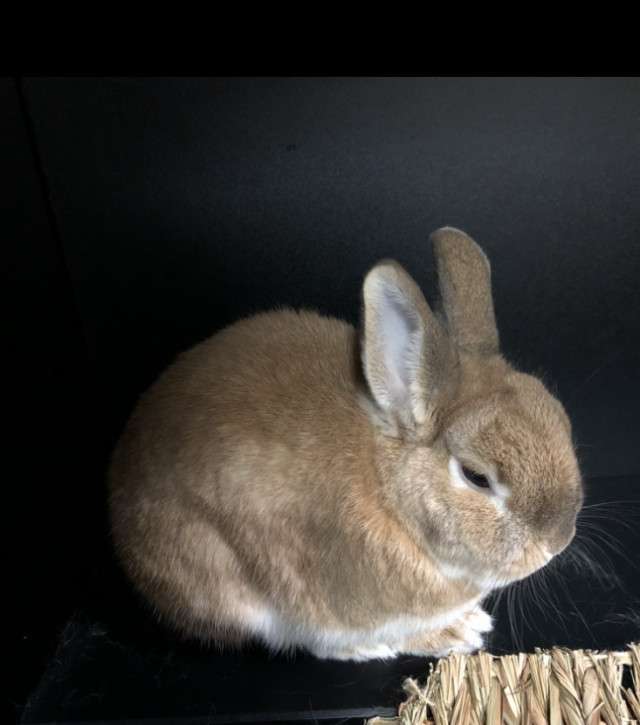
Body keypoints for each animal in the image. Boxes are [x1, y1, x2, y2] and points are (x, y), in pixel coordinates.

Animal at [108, 227, 583, 661]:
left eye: (560, 416)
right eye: (476, 476)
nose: (558, 540)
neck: (390, 494)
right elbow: (331, 639)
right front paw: (451, 633)